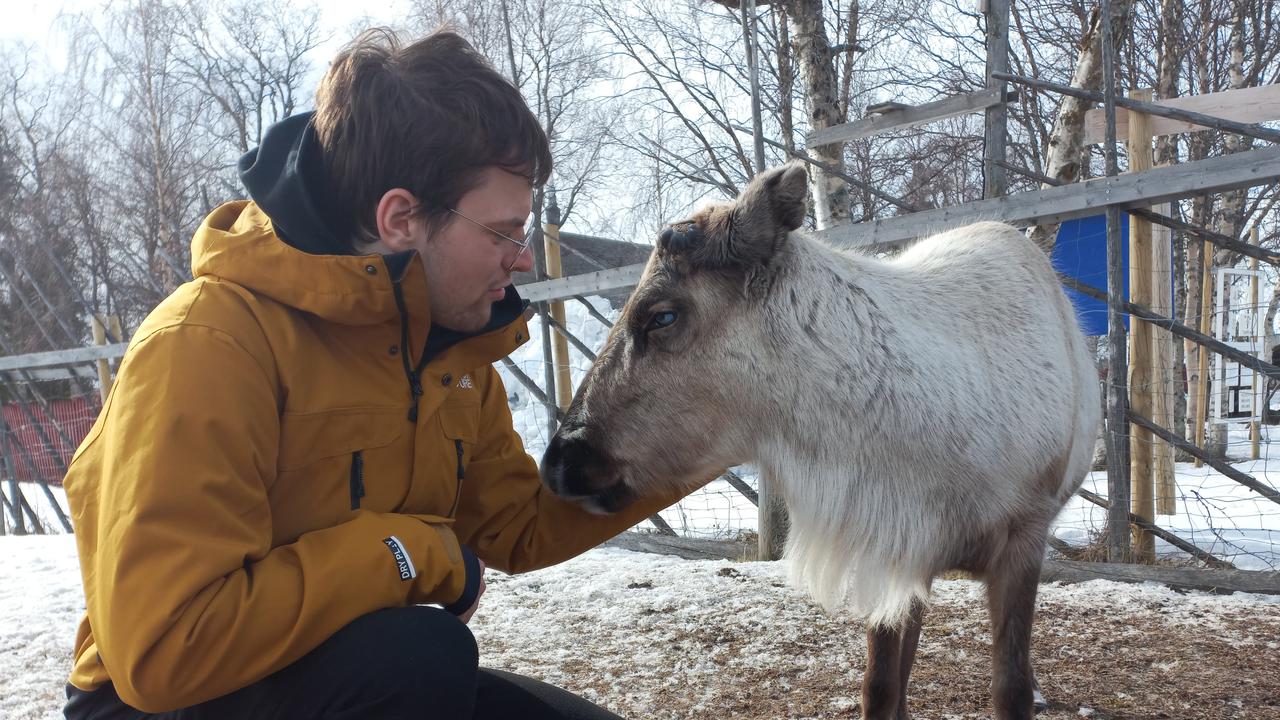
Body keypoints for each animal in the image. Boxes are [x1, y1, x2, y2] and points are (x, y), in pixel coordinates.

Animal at [540, 163, 1100, 719]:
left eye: (662, 315)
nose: (558, 463)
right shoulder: (890, 549)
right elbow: (880, 687)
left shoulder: (1024, 539)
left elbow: (1011, 690)